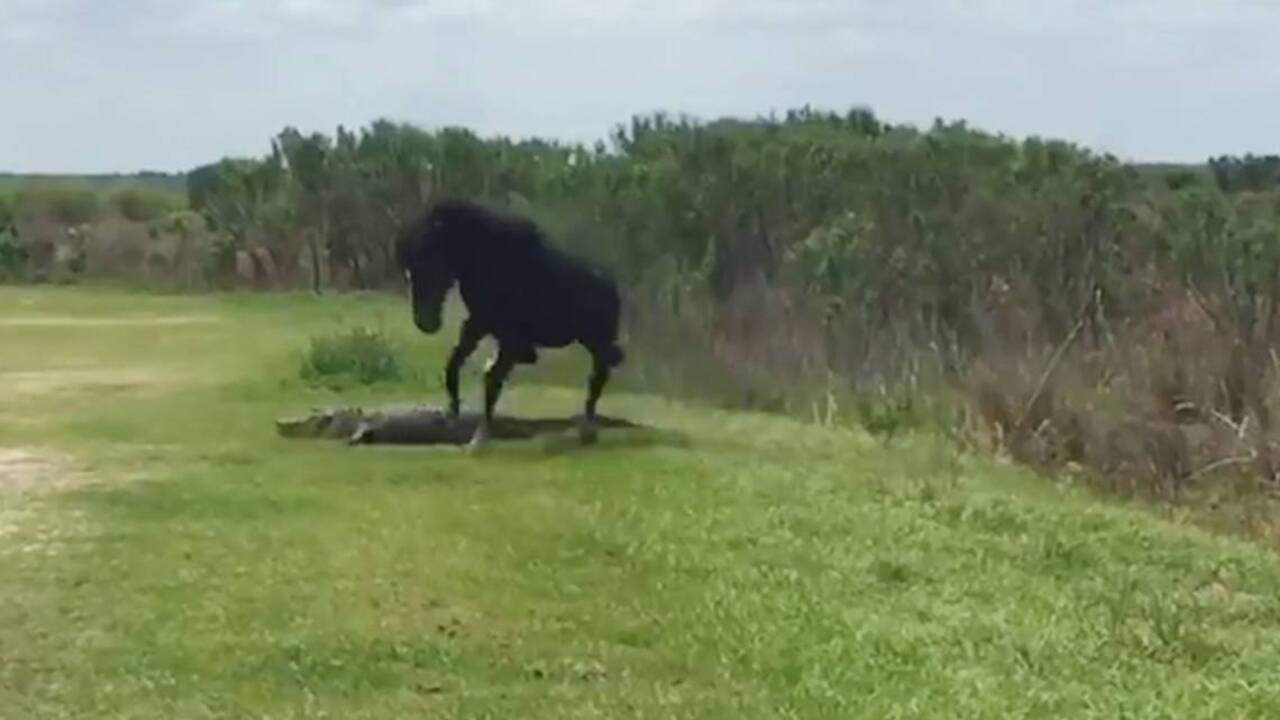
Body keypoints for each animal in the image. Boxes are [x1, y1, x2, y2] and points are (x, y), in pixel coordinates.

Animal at [395, 198, 625, 449]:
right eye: (409, 270)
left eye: (429, 263)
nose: (425, 323)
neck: (488, 261)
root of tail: (613, 288)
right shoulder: (478, 325)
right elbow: (454, 364)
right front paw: (453, 414)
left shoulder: (509, 336)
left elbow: (492, 381)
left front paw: (479, 438)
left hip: (598, 342)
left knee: (598, 376)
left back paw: (588, 430)